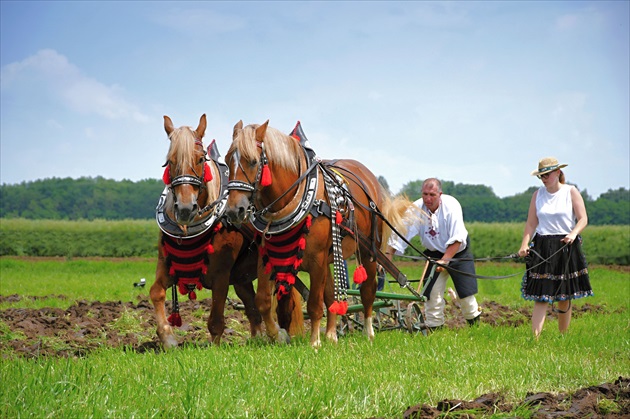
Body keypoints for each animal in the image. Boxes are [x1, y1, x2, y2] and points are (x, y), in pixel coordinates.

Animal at [151, 114, 264, 348]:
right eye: (170, 161)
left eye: (200, 160)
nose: (185, 208)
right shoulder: (166, 265)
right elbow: (155, 292)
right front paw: (167, 337)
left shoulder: (222, 274)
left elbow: (216, 317)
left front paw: (215, 346)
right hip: (242, 277)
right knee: (252, 308)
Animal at [225, 119, 412, 348]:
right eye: (227, 161)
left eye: (252, 161)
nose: (234, 211)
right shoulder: (267, 255)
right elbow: (262, 301)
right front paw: (279, 335)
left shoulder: (317, 258)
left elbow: (315, 302)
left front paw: (314, 341)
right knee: (331, 296)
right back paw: (332, 334)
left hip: (368, 251)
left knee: (368, 291)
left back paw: (368, 332)